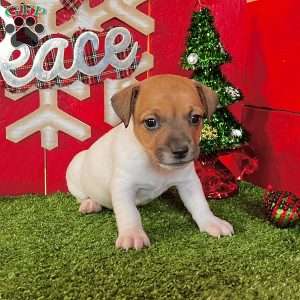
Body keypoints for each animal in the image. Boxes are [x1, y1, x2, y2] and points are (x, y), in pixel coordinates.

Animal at [66, 74, 234, 251]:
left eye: (195, 118)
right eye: (151, 122)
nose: (180, 151)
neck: (155, 164)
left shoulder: (189, 182)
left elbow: (200, 204)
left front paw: (212, 222)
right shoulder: (123, 187)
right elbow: (129, 213)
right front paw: (132, 234)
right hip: (75, 172)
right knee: (81, 195)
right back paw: (90, 204)